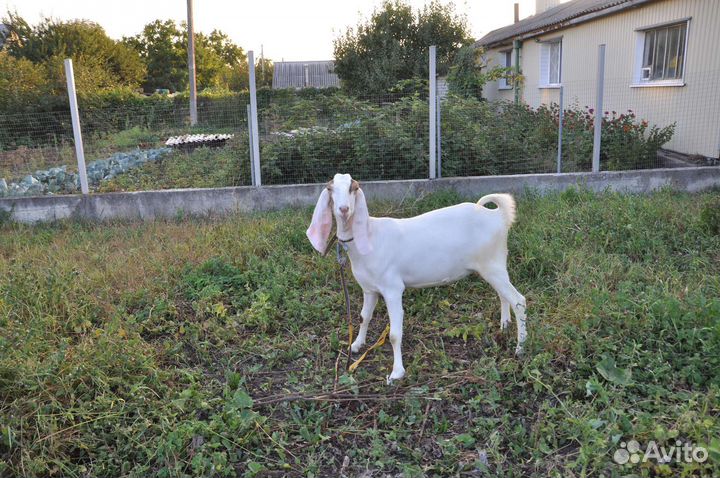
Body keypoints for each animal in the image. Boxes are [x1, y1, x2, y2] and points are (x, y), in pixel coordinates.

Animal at [307, 173, 527, 383]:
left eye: (353, 188)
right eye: (330, 189)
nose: (344, 209)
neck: (370, 236)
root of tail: (498, 216)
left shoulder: (393, 289)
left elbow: (395, 335)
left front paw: (396, 373)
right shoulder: (369, 289)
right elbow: (364, 317)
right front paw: (356, 345)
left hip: (492, 264)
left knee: (519, 300)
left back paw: (520, 348)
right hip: (495, 265)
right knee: (503, 295)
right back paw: (504, 325)